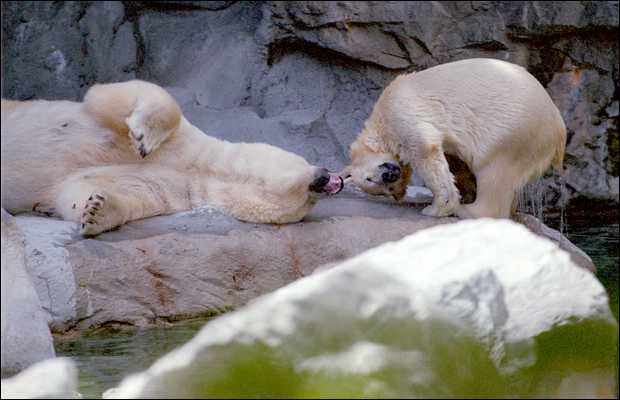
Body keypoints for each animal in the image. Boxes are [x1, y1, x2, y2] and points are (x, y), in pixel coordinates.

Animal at [1, 80, 343, 236]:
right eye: (309, 195)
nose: (333, 179)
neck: (202, 168)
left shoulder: (172, 187)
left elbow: (81, 189)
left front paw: (97, 210)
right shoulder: (183, 141)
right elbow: (126, 94)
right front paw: (143, 136)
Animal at [342, 58, 566, 219]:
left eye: (369, 178)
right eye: (383, 188)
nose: (389, 175)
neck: (380, 121)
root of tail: (558, 126)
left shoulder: (401, 113)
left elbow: (426, 152)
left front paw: (436, 208)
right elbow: (454, 161)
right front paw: (464, 189)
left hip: (513, 130)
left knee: (493, 171)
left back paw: (467, 211)